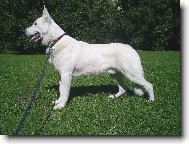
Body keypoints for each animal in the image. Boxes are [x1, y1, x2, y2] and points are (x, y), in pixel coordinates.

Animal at [25, 5, 154, 109]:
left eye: (35, 23)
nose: (23, 30)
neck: (56, 41)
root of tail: (132, 48)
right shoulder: (61, 75)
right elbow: (61, 91)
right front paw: (58, 102)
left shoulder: (66, 75)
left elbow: (64, 92)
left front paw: (61, 106)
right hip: (115, 74)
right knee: (123, 89)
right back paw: (114, 97)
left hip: (132, 74)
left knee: (149, 85)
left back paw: (151, 101)